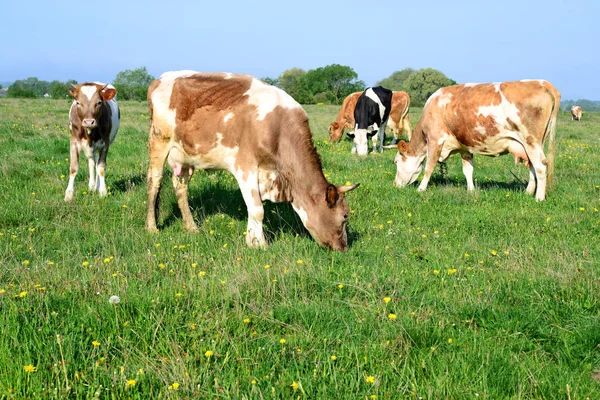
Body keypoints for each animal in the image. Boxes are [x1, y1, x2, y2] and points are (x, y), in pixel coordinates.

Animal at [147, 69, 358, 250]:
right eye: (345, 216)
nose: (344, 248)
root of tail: (160, 79)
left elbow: (254, 208)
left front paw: (252, 239)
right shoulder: (245, 166)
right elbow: (257, 209)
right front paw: (259, 244)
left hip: (184, 155)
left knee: (180, 186)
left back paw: (191, 228)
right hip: (159, 140)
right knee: (154, 181)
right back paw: (152, 227)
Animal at [392, 80, 560, 202]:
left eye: (396, 161)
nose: (394, 184)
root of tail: (542, 82)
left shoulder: (435, 140)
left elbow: (429, 167)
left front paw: (421, 189)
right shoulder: (465, 148)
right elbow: (468, 170)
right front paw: (471, 190)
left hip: (531, 141)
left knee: (540, 167)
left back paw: (539, 198)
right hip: (532, 144)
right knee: (533, 166)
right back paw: (528, 192)